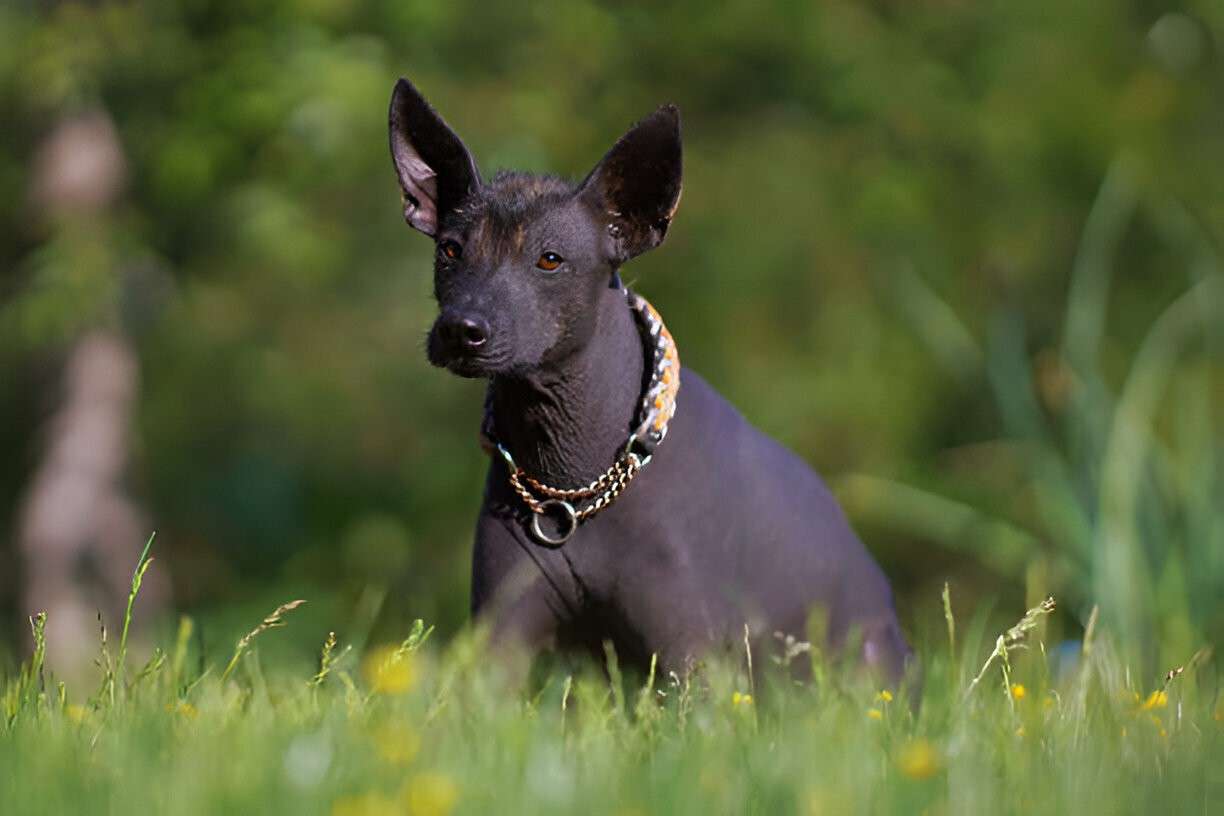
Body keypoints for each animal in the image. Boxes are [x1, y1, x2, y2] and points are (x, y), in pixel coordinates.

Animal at [386, 79, 915, 685]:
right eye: (451, 250)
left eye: (550, 260)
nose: (461, 328)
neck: (572, 478)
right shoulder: (501, 638)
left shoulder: (689, 654)